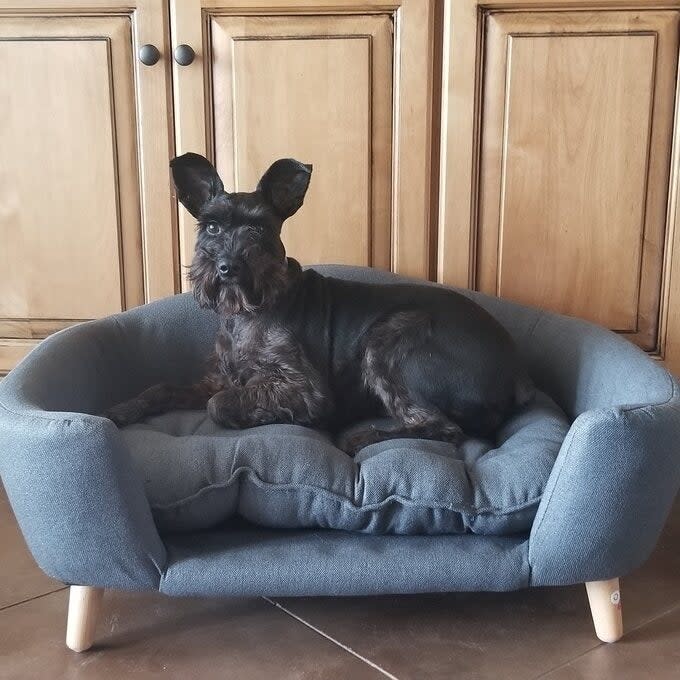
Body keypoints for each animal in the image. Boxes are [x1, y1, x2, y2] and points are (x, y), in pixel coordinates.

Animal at [106, 151, 532, 454]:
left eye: (258, 228)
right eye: (210, 226)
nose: (228, 267)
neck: (247, 312)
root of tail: (513, 376)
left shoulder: (305, 389)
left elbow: (220, 404)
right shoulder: (218, 377)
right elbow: (161, 388)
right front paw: (120, 410)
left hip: (389, 337)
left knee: (442, 427)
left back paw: (361, 439)